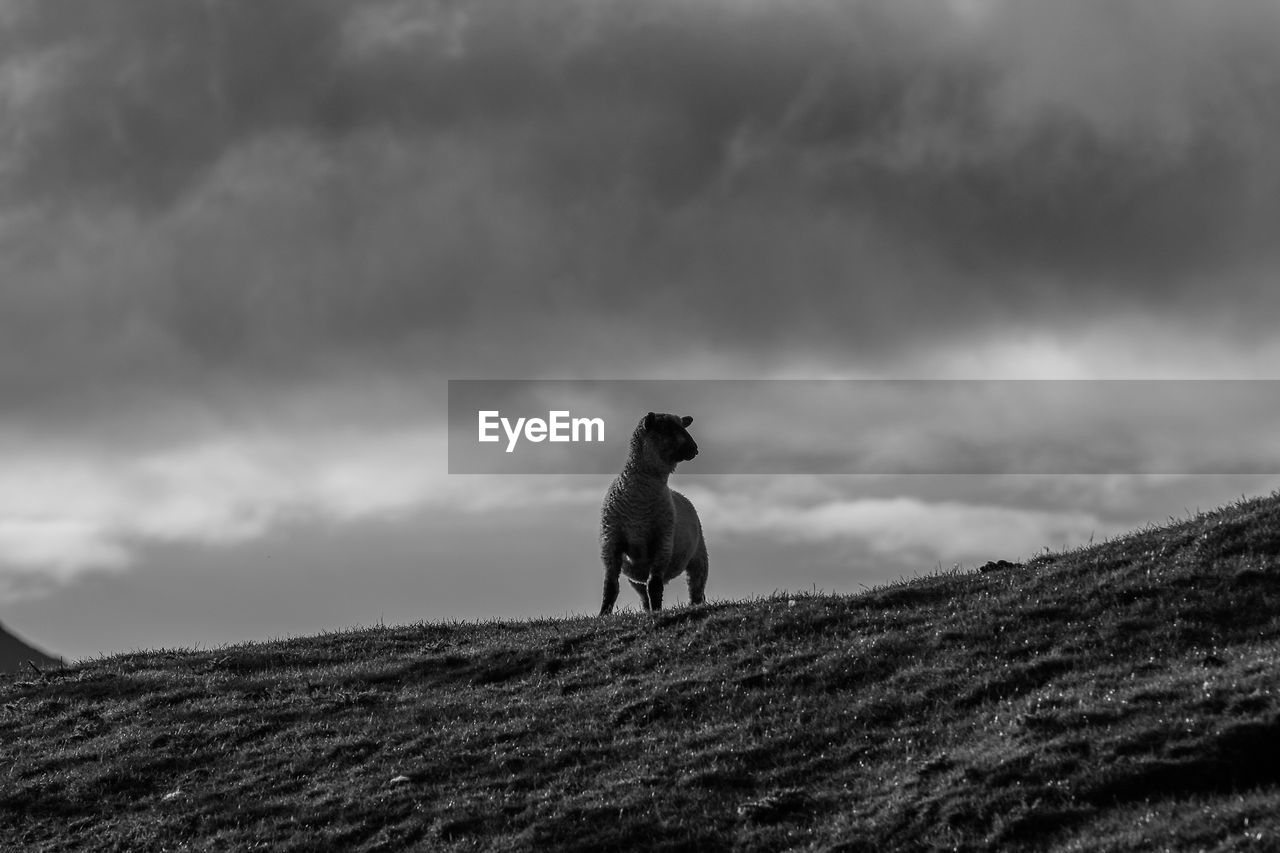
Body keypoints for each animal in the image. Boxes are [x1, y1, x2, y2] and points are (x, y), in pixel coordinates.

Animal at [593, 409, 706, 612]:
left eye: (682, 426)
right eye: (667, 429)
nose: (695, 449)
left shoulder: (662, 542)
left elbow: (655, 585)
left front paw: (658, 611)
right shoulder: (611, 542)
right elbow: (610, 586)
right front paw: (603, 614)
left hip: (699, 557)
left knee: (696, 588)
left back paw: (693, 606)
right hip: (636, 575)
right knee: (643, 593)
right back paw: (648, 611)